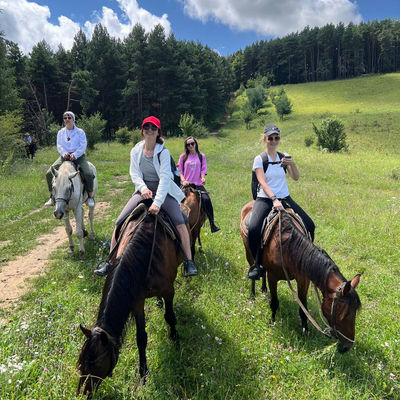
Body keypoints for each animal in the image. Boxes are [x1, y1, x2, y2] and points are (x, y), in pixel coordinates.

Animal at [76, 206, 183, 396]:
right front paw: (143, 375)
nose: (84, 393)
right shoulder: (137, 301)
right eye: (81, 363)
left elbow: (170, 317)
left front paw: (175, 339)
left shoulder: (169, 291)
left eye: (96, 364)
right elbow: (141, 338)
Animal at [241, 202, 362, 352]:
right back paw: (252, 294)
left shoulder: (303, 280)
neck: (286, 247)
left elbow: (303, 308)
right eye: (344, 314)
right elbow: (274, 302)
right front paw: (272, 322)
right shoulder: (272, 277)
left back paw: (263, 289)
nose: (347, 346)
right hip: (249, 254)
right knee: (254, 271)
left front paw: (305, 331)